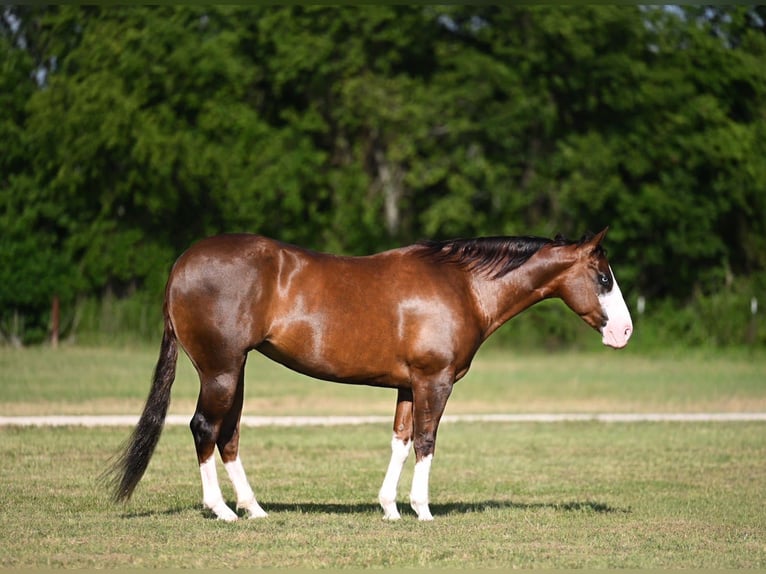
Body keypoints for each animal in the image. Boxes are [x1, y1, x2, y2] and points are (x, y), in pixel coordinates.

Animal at [105, 227, 633, 521]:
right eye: (603, 276)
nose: (625, 331)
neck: (463, 285)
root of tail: (182, 264)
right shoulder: (434, 382)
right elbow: (426, 441)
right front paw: (422, 510)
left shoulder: (408, 385)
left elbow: (400, 440)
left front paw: (390, 508)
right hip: (220, 370)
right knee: (204, 428)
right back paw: (221, 511)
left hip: (235, 372)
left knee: (228, 433)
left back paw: (253, 509)